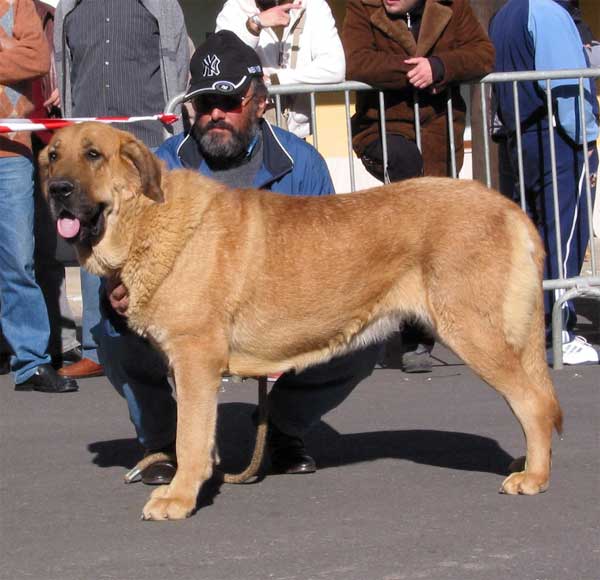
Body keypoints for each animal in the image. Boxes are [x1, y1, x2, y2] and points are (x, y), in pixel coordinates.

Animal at [41, 122, 564, 520]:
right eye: (51, 156)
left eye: (93, 155)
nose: (56, 190)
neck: (147, 218)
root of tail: (509, 208)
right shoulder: (187, 367)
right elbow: (193, 433)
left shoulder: (195, 360)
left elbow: (189, 438)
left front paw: (179, 499)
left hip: (473, 333)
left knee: (535, 403)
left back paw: (534, 477)